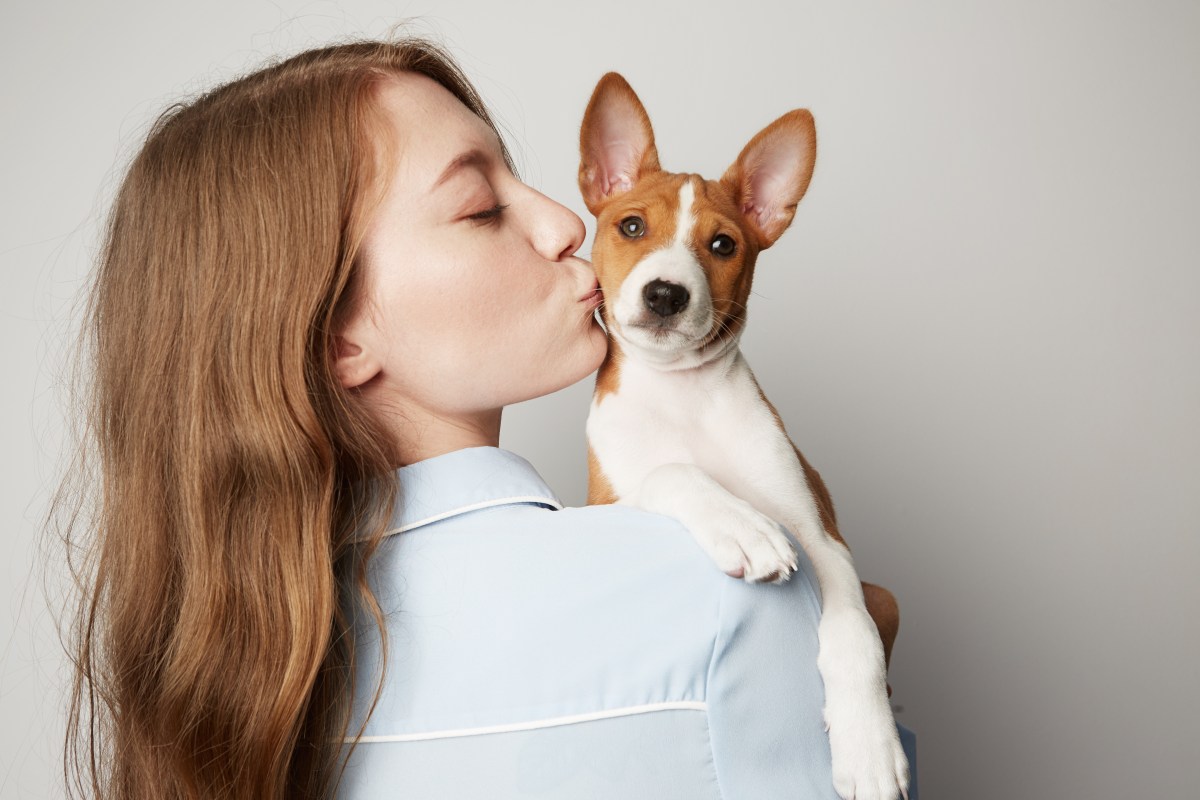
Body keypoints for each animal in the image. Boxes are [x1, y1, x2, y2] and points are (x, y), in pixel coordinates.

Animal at [580, 71, 907, 796]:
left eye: (723, 245)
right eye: (631, 226)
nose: (666, 294)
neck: (682, 396)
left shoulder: (824, 541)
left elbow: (852, 639)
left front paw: (869, 747)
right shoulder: (606, 505)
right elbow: (671, 471)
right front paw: (740, 525)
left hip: (888, 595)